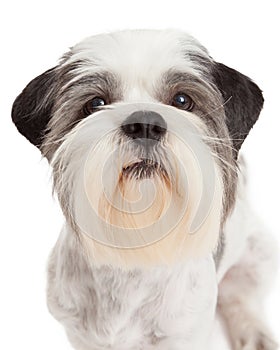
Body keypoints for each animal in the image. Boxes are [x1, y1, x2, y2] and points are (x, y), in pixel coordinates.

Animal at [11, 30, 278, 350]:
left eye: (182, 100)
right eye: (95, 103)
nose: (145, 124)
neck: (137, 247)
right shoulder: (80, 335)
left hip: (260, 252)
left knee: (240, 294)